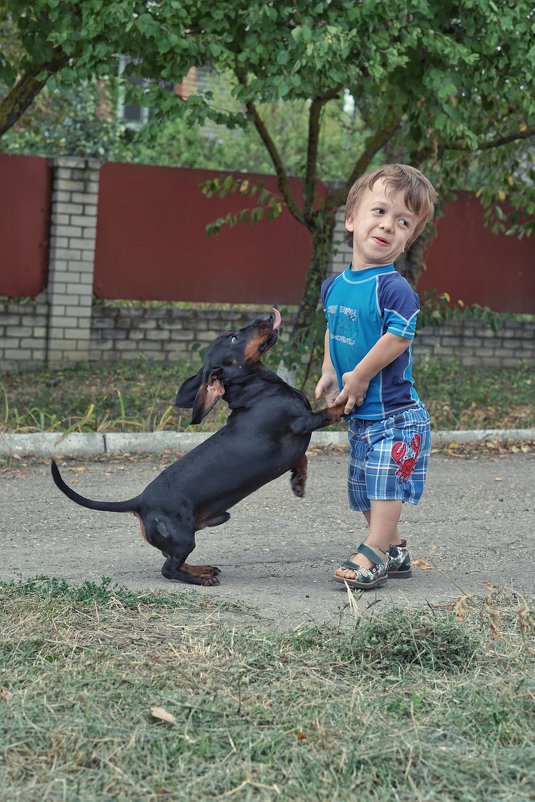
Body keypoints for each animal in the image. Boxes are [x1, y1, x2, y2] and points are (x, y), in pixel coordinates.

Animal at [52, 310, 346, 584]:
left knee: (170, 558)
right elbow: (332, 411)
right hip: (184, 539)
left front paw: (298, 482)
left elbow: (302, 458)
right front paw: (349, 398)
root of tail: (140, 501)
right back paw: (201, 577)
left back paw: (201, 568)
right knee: (169, 568)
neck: (259, 390)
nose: (266, 316)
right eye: (233, 337)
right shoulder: (303, 422)